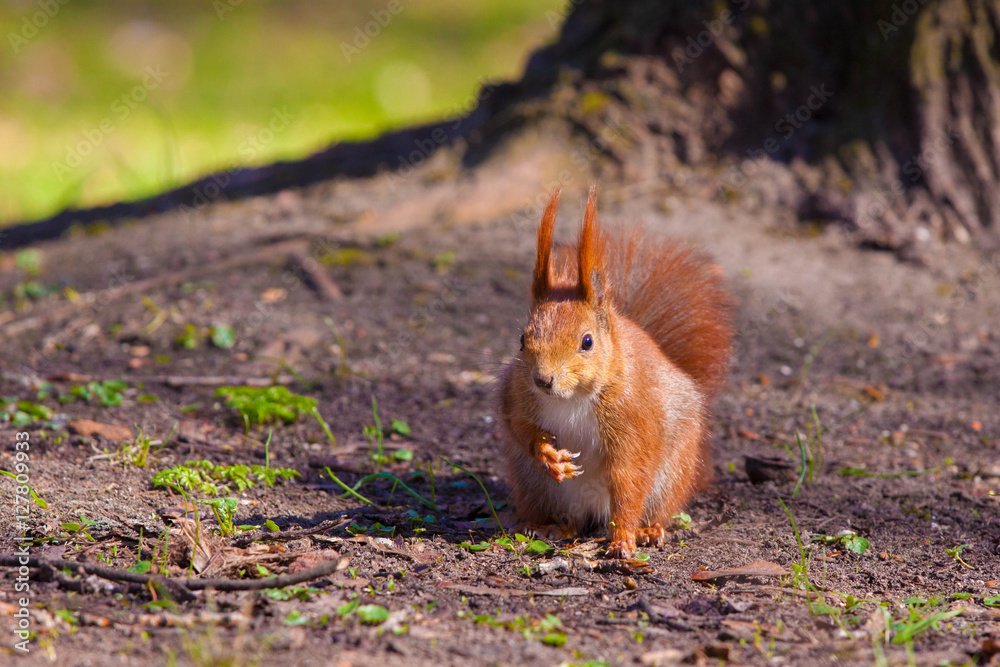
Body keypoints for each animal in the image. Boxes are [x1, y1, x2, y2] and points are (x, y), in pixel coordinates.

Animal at [498, 185, 734, 559]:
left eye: (587, 341)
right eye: (522, 339)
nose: (542, 379)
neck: (572, 398)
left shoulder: (631, 418)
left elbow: (628, 477)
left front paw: (623, 537)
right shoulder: (515, 395)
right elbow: (519, 426)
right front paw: (549, 455)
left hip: (670, 478)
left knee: (652, 506)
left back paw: (647, 530)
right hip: (532, 484)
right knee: (568, 519)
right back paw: (546, 526)